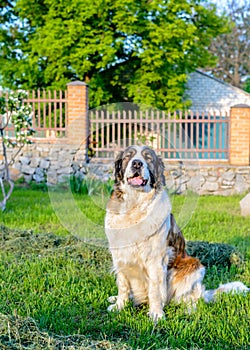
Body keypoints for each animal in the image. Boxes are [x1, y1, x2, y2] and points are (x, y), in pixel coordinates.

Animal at [105, 145, 205, 320]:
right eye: (128, 156)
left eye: (148, 158)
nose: (137, 163)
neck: (135, 206)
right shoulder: (119, 255)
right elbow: (122, 284)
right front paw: (119, 306)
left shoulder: (156, 258)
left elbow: (155, 289)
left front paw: (156, 314)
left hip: (193, 267)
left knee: (192, 297)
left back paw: (188, 310)